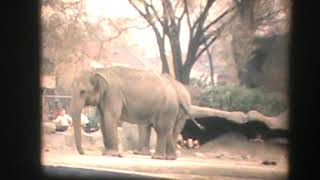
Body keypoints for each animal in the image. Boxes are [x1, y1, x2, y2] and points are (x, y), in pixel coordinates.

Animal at [71, 66, 201, 160]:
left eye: (82, 92)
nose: (83, 152)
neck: (99, 71)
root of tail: (176, 91)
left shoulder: (113, 94)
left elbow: (110, 118)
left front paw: (112, 155)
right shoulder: (105, 98)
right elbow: (103, 120)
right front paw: (107, 154)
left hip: (167, 107)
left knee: (162, 129)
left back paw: (158, 157)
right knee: (166, 129)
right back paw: (170, 158)